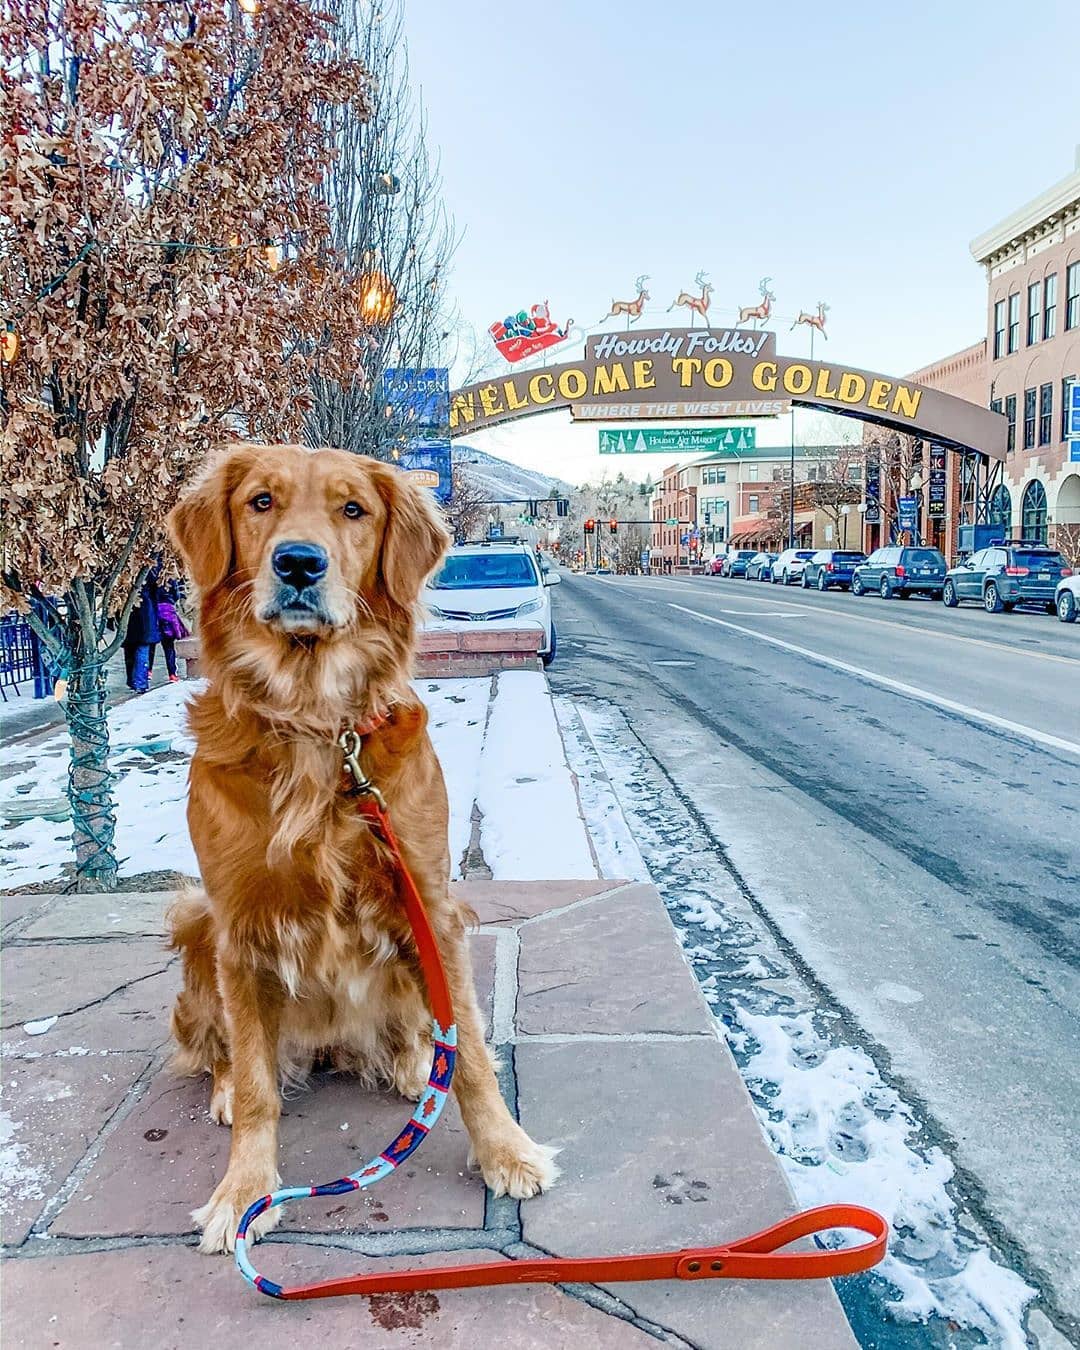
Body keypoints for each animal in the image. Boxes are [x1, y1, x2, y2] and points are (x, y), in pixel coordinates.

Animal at [167, 442, 561, 1252]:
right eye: (260, 502)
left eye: (354, 509)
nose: (298, 563)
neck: (316, 719)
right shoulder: (237, 926)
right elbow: (258, 1088)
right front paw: (243, 1191)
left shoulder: (431, 901)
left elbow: (472, 1056)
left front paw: (505, 1151)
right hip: (194, 921)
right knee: (228, 1052)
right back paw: (224, 1087)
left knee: (431, 1034)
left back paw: (414, 1063)